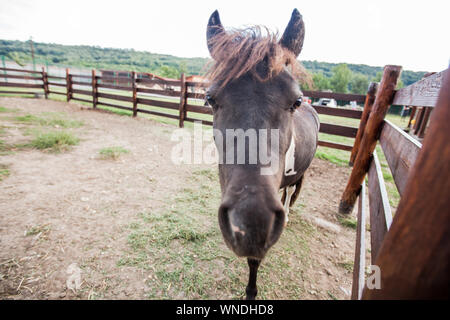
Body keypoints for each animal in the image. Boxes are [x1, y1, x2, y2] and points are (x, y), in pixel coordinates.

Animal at [206, 9, 318, 300]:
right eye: (210, 99)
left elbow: (254, 260)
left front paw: (251, 291)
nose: (250, 224)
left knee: (291, 193)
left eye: (296, 101)